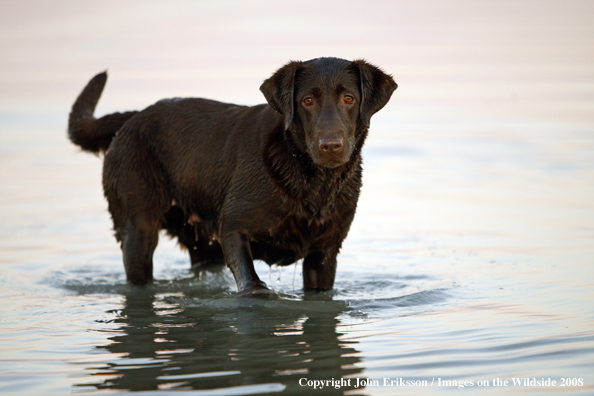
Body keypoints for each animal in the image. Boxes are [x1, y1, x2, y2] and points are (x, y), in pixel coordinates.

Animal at [67, 58, 396, 294]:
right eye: (307, 101)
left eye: (349, 98)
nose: (330, 146)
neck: (310, 179)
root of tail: (131, 117)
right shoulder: (233, 227)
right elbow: (251, 282)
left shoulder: (324, 252)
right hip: (138, 229)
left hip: (201, 242)